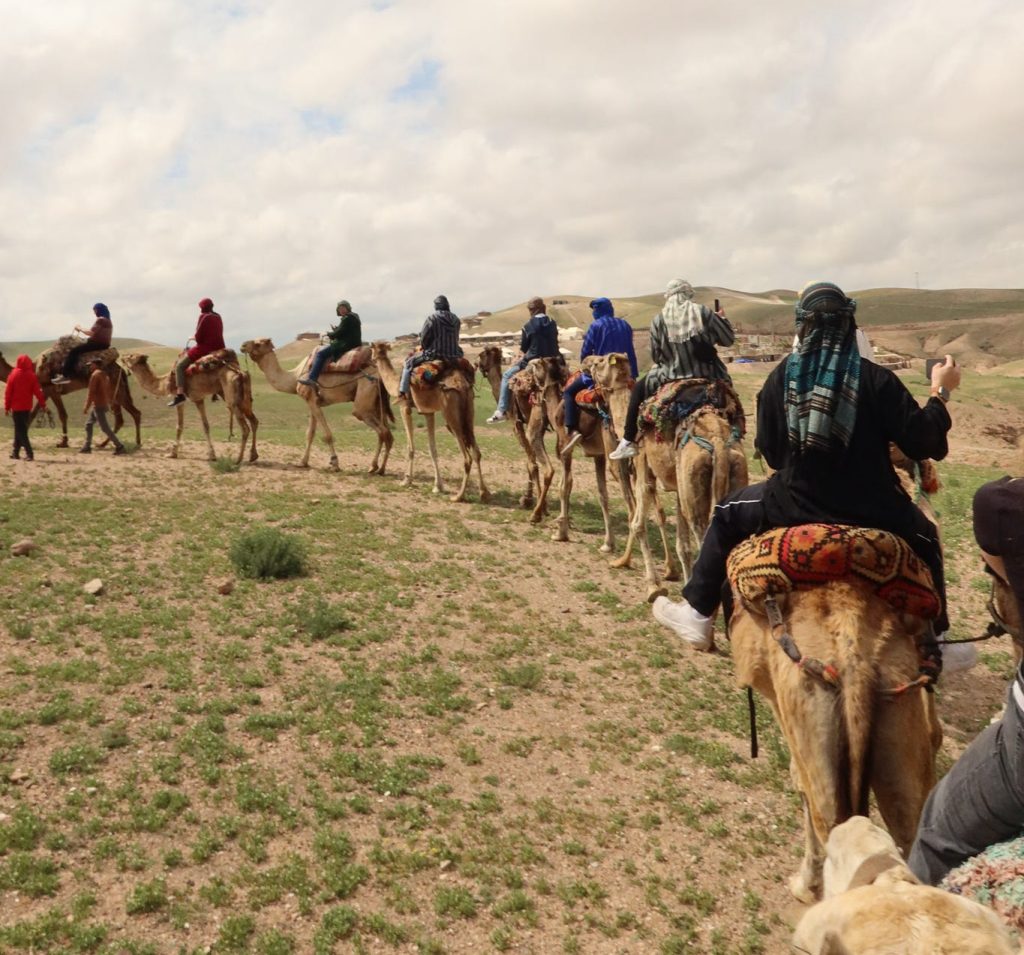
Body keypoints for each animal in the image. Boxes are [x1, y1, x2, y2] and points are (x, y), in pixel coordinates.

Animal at [123, 352, 258, 464]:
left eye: (130, 356)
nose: (122, 357)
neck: (165, 382)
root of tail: (240, 373)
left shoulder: (180, 399)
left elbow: (179, 426)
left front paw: (172, 454)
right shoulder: (199, 399)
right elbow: (206, 426)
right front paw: (212, 456)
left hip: (232, 399)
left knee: (245, 428)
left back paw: (238, 459)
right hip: (244, 400)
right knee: (254, 421)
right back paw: (253, 456)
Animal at [240, 338, 393, 473]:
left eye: (258, 343)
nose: (242, 345)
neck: (295, 376)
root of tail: (379, 375)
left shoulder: (312, 399)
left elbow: (327, 434)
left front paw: (335, 463)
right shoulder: (312, 401)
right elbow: (310, 433)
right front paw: (303, 462)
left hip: (364, 399)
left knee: (382, 431)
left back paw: (375, 467)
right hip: (378, 403)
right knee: (387, 433)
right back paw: (379, 468)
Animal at [371, 342, 490, 503]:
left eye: (371, 349)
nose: (371, 359)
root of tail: (461, 385)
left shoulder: (404, 407)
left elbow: (410, 447)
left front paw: (406, 480)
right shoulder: (428, 412)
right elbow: (432, 449)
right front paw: (438, 486)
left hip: (450, 413)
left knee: (467, 457)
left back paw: (458, 496)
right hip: (469, 410)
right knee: (476, 452)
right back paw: (483, 493)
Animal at [476, 345, 554, 520]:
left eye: (481, 355)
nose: (476, 364)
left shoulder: (516, 423)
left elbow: (531, 463)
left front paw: (530, 501)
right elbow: (530, 461)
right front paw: (530, 498)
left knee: (548, 468)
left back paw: (537, 513)